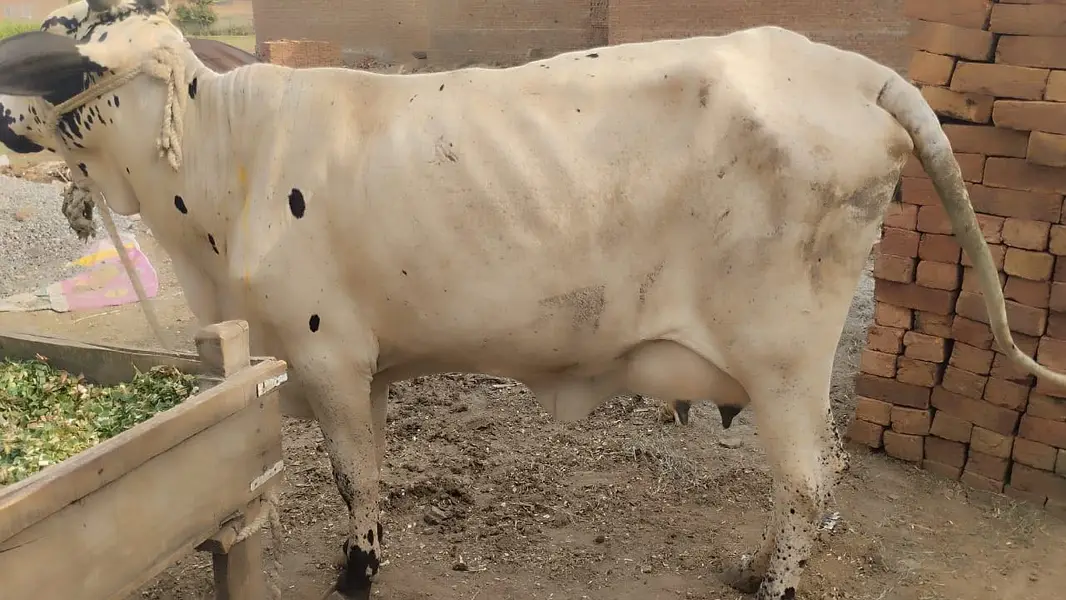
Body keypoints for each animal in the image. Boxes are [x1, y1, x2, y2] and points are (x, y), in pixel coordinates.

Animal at [3, 3, 1065, 599]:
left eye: (74, 60)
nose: (10, 121)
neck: (228, 164)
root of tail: (847, 68)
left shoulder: (326, 353)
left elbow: (354, 479)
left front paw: (357, 572)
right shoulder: (361, 364)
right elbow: (372, 469)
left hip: (784, 358)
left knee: (810, 481)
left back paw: (775, 588)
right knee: (807, 480)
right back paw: (753, 567)